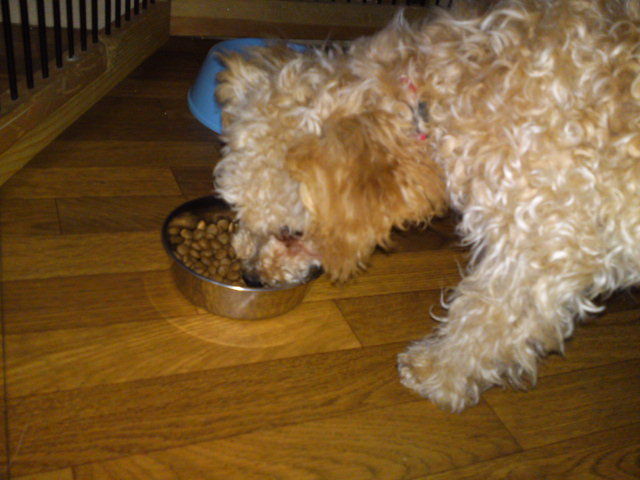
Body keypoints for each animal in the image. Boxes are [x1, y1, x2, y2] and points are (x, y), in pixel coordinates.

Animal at [213, 0, 640, 411]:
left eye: (291, 233)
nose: (252, 278)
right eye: (238, 211)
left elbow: (484, 318)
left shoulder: (542, 249)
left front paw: (438, 373)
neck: (435, 97)